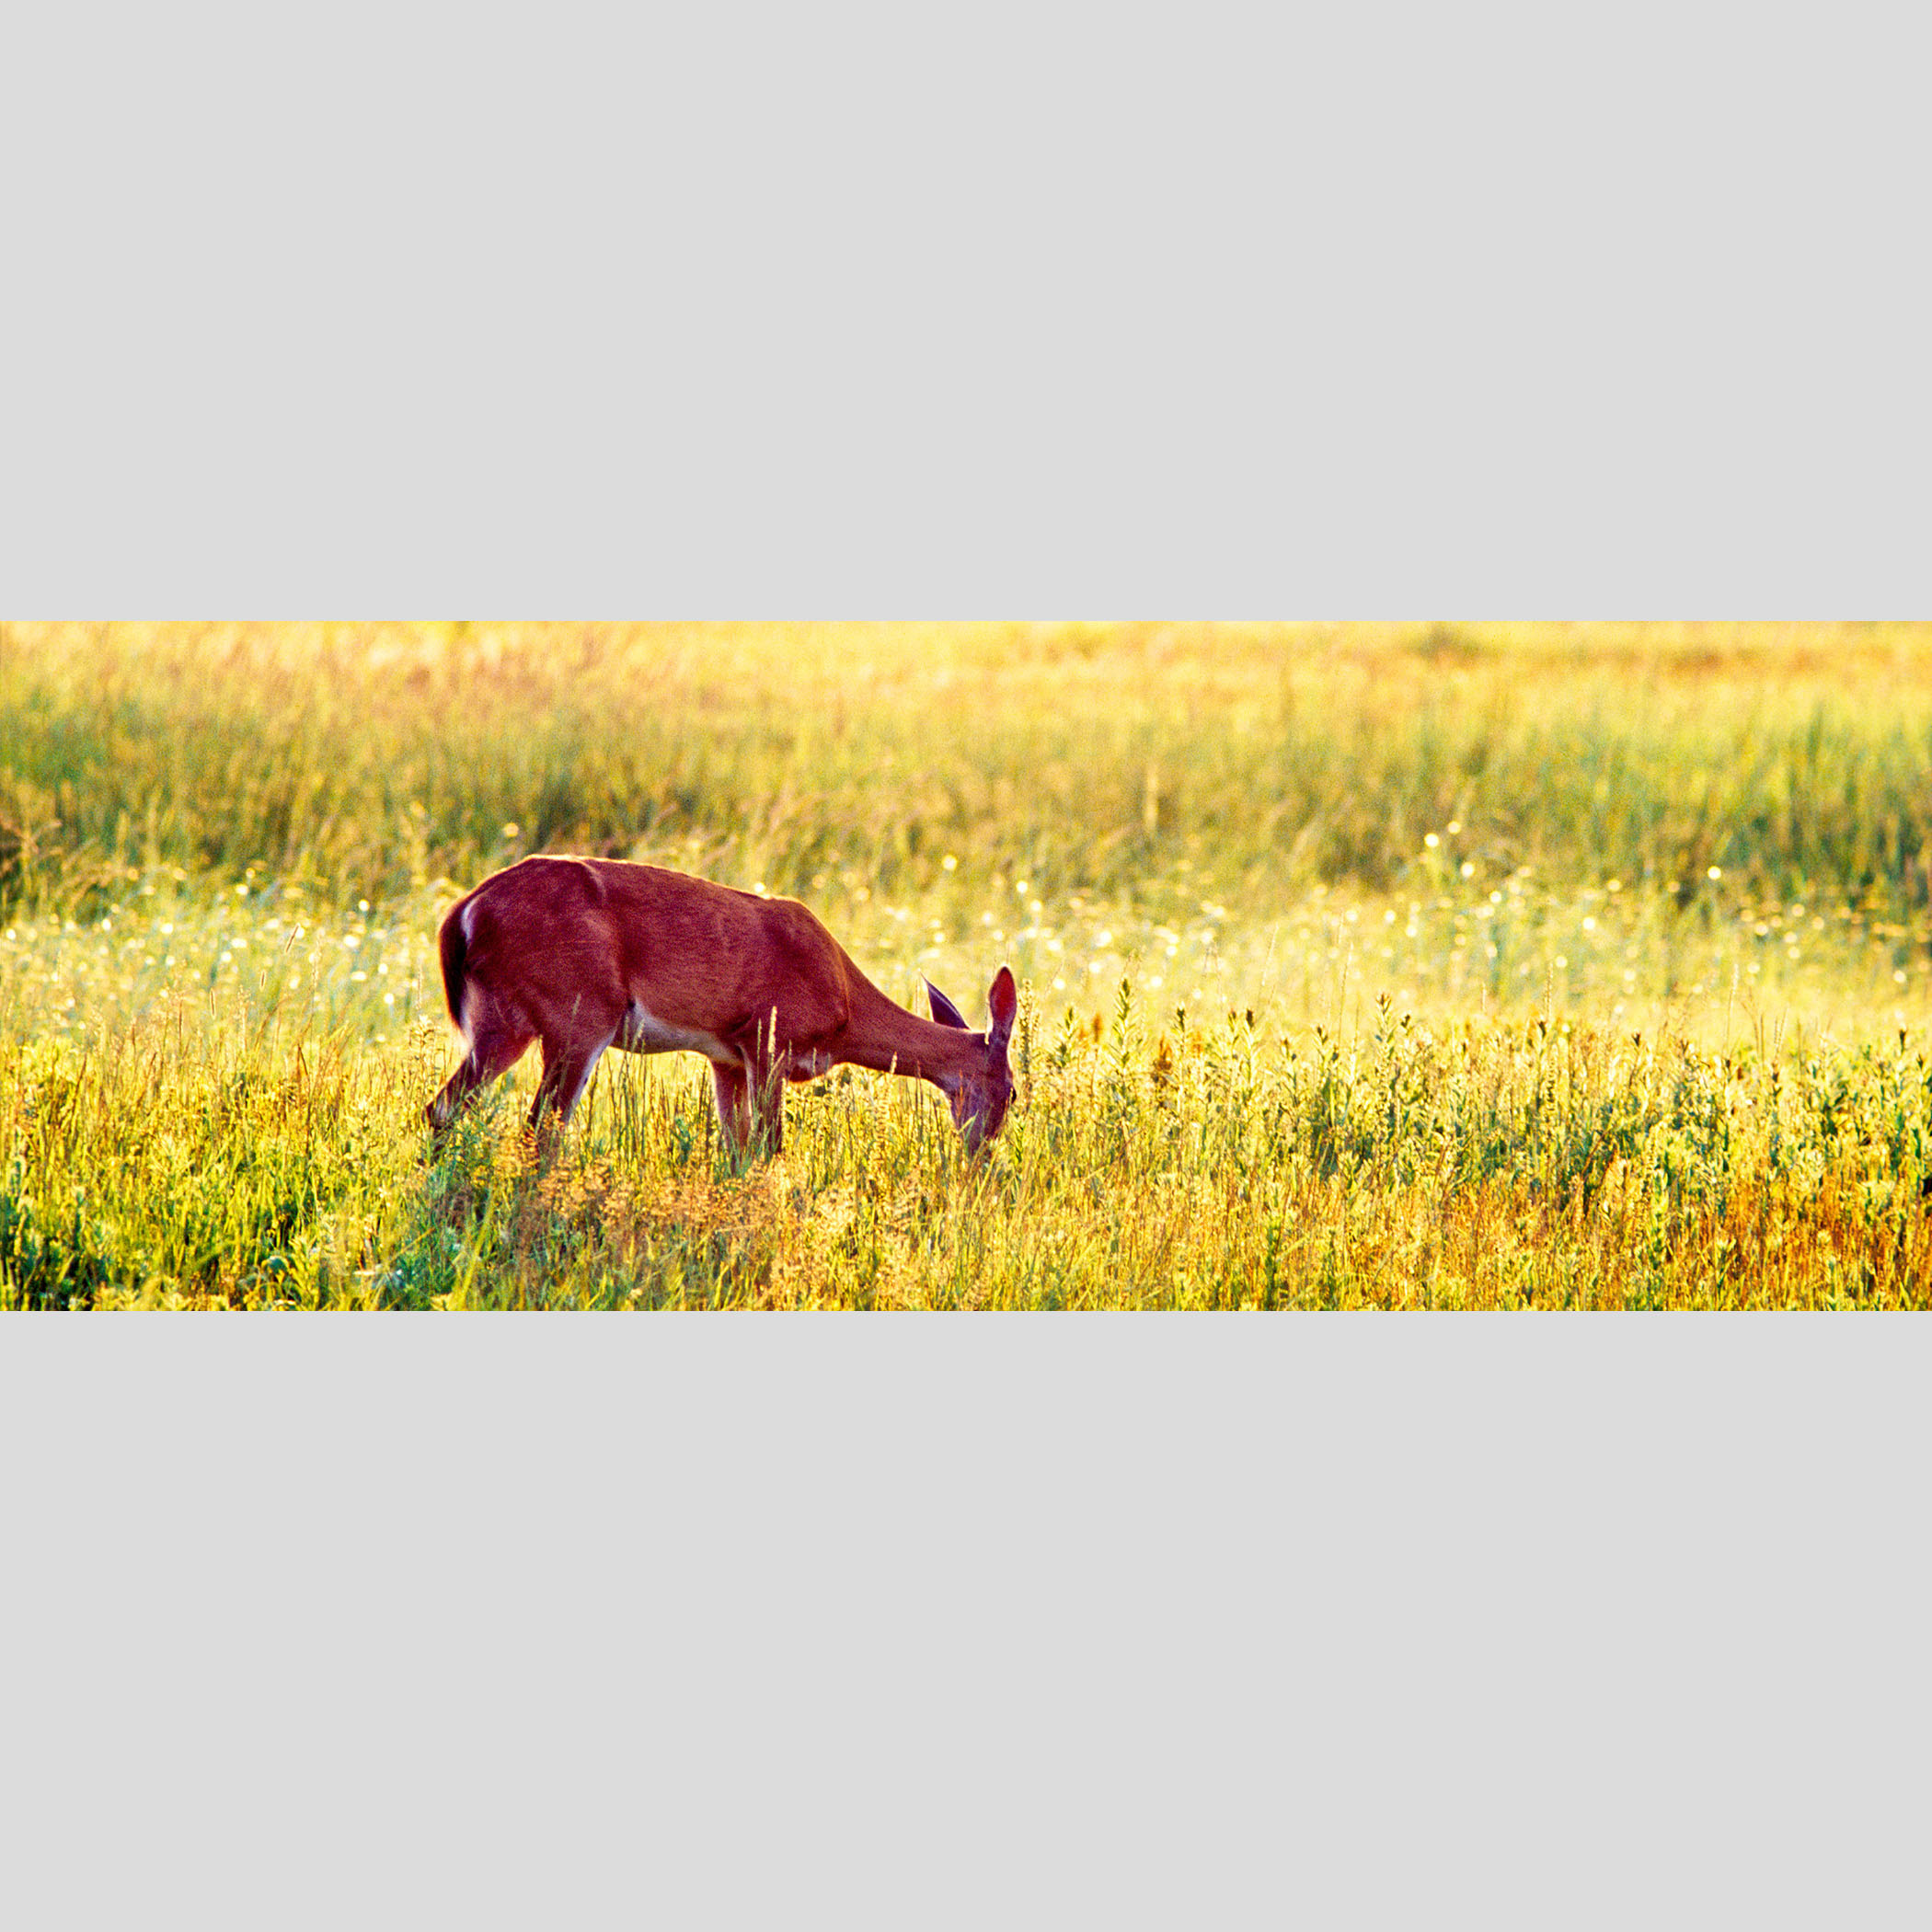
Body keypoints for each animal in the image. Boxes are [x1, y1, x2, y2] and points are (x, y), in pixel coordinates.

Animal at [425, 855, 1018, 1158]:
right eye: (1013, 1091)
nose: (982, 1158)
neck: (845, 1007)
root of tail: (463, 914)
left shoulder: (726, 1057)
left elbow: (736, 1149)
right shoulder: (768, 1039)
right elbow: (769, 1147)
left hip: (500, 1021)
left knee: (441, 1108)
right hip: (580, 1016)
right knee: (542, 1131)